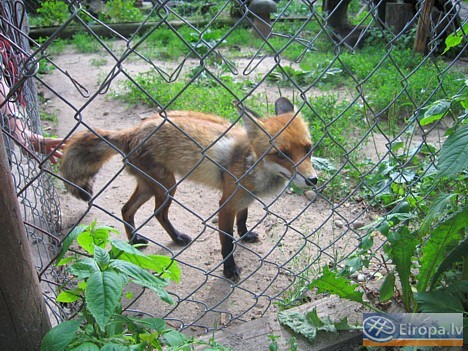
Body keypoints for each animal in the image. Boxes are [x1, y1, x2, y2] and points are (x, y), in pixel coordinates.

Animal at [61, 97, 318, 282]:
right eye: (282, 154)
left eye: (308, 148)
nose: (313, 180)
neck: (250, 161)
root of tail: (131, 131)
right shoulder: (226, 203)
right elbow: (227, 242)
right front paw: (229, 269)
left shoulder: (244, 199)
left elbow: (243, 219)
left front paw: (245, 234)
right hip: (167, 186)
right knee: (157, 214)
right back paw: (173, 238)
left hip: (151, 186)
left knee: (126, 210)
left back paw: (134, 241)